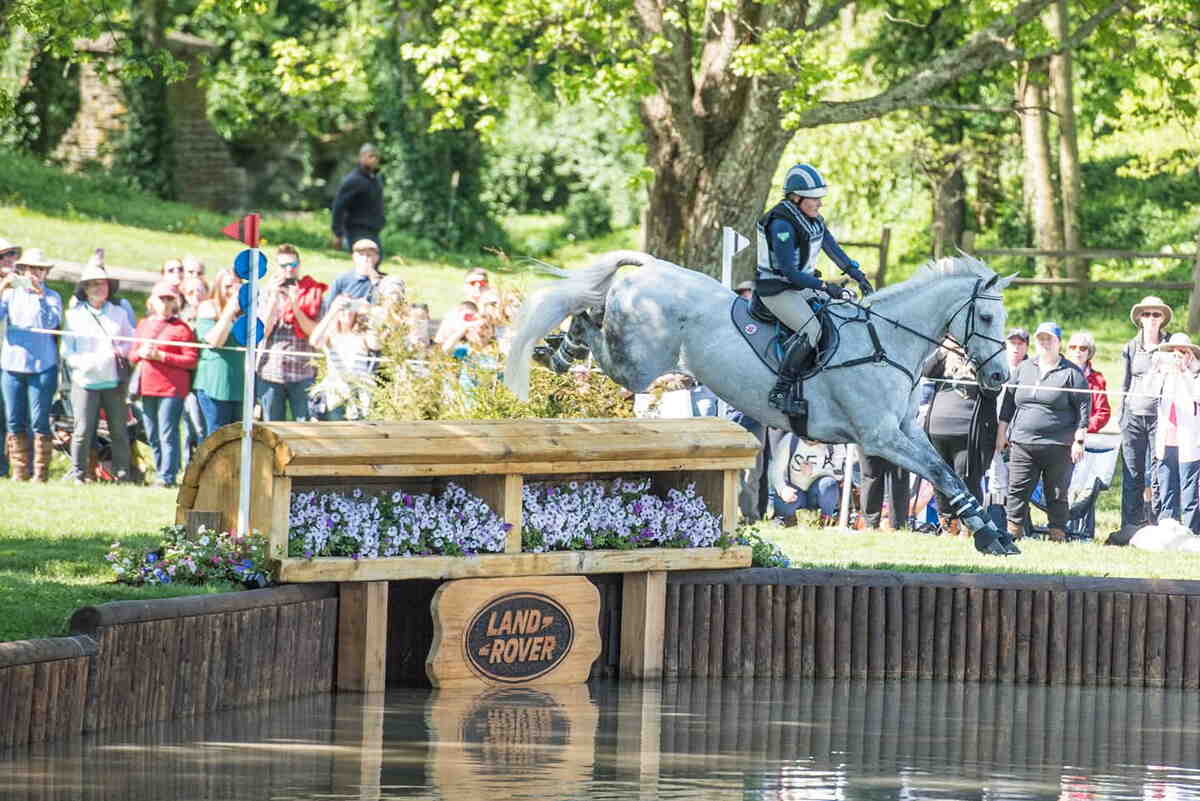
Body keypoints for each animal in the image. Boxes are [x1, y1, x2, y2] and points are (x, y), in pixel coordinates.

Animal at [504, 250, 1016, 555]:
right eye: (989, 316)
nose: (999, 378)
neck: (886, 341)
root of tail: (651, 269)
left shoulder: (906, 431)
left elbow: (947, 472)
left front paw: (992, 535)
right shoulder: (880, 437)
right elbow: (941, 473)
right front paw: (987, 535)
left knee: (594, 306)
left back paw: (558, 346)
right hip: (640, 364)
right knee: (594, 316)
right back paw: (560, 348)